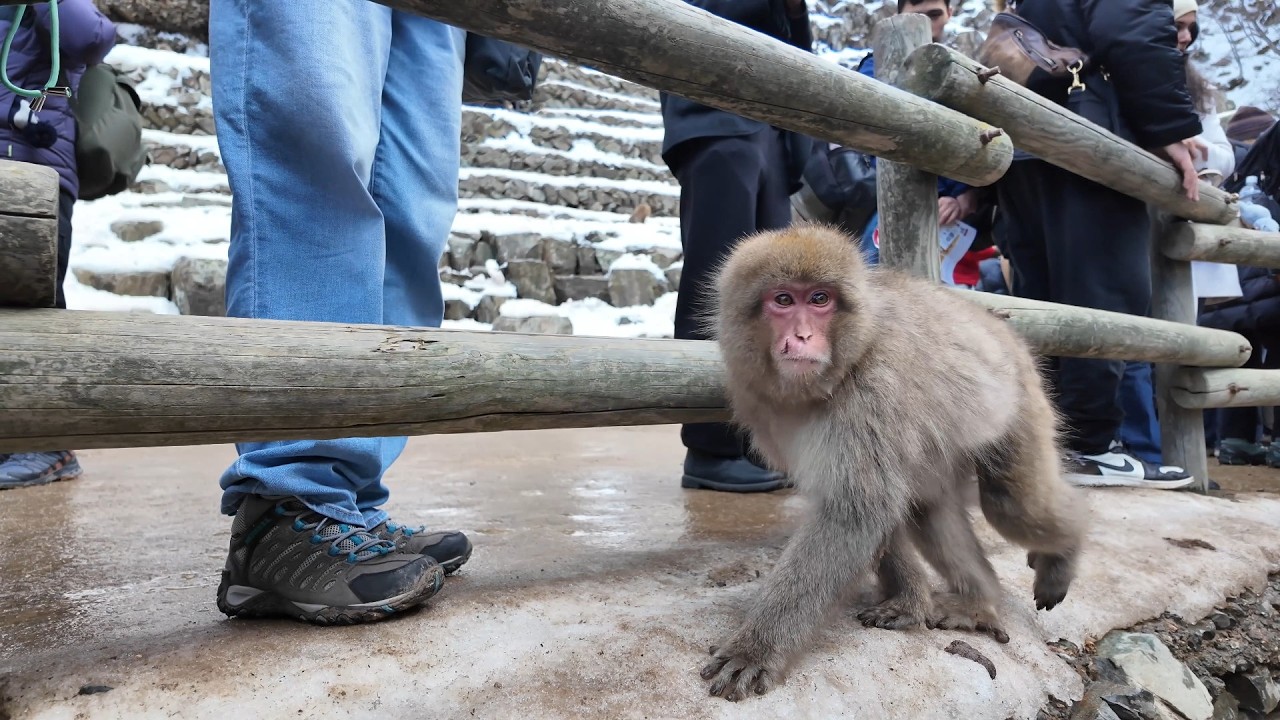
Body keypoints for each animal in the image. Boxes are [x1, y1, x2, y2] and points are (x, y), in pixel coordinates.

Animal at [696, 223, 1087, 701]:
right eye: (783, 300)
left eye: (820, 299)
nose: (803, 336)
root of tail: (1002, 328)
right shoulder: (761, 402)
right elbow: (875, 509)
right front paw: (909, 603)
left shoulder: (873, 389)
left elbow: (857, 511)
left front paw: (756, 648)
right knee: (927, 506)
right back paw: (979, 603)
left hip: (1021, 405)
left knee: (1012, 505)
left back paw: (1063, 553)